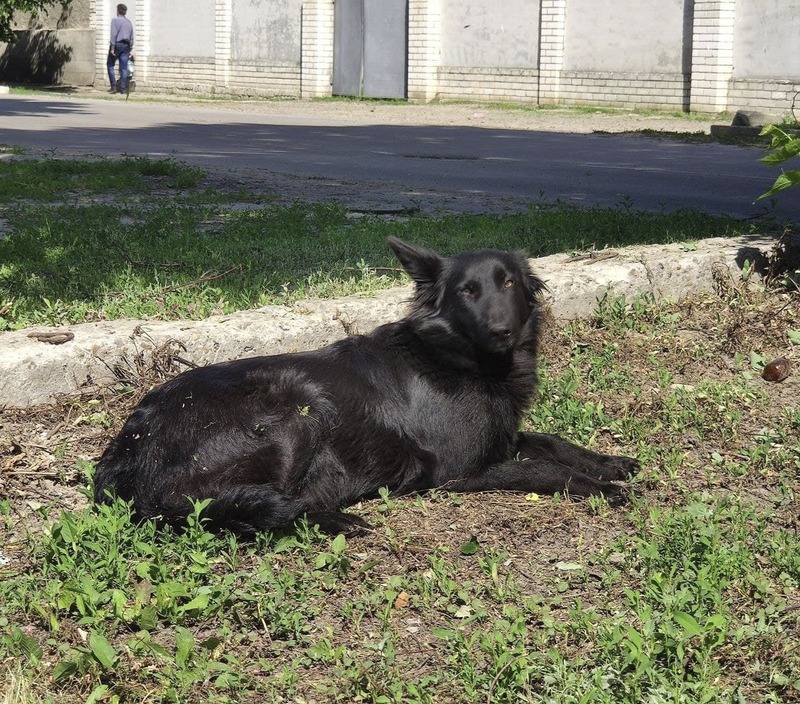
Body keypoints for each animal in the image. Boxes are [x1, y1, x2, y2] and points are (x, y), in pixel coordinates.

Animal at [94, 238, 640, 532]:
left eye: (508, 283)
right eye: (467, 291)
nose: (502, 330)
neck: (458, 360)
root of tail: (127, 449)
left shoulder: (501, 436)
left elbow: (551, 442)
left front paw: (609, 462)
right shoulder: (461, 471)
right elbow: (540, 468)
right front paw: (598, 486)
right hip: (298, 412)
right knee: (229, 506)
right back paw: (329, 514)